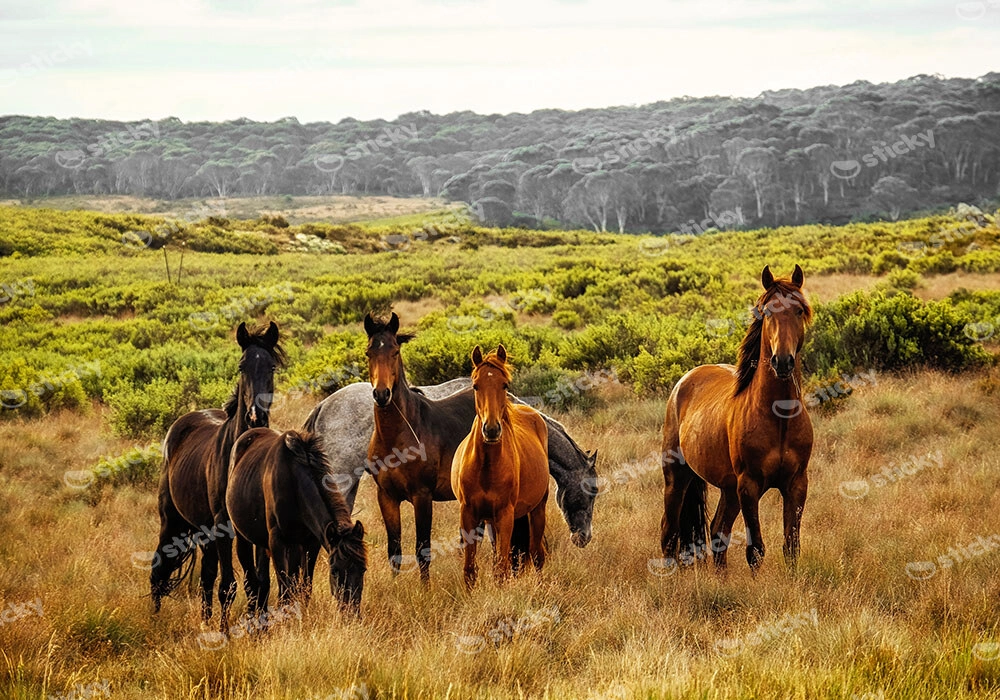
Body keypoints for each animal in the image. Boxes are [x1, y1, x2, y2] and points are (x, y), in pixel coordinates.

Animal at [150, 321, 283, 631]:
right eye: (241, 366)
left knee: (206, 576)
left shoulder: (255, 530)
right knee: (159, 569)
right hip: (173, 521)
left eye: (271, 366)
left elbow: (259, 583)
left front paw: (260, 628)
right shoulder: (223, 526)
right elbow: (230, 585)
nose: (256, 416)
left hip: (203, 531)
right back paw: (157, 618)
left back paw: (205, 619)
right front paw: (224, 633)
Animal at [227, 428, 367, 616]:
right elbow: (285, 590)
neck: (293, 481)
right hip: (244, 537)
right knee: (251, 580)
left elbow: (304, 587)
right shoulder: (277, 542)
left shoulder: (311, 543)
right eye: (335, 571)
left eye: (363, 569)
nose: (351, 613)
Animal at [452, 345, 549, 588]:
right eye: (475, 385)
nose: (492, 429)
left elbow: (501, 569)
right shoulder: (468, 514)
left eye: (504, 384)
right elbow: (469, 569)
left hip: (537, 510)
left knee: (537, 555)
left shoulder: (505, 515)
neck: (486, 466)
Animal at [659, 265, 813, 572]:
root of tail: (685, 380)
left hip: (728, 489)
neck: (779, 416)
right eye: (766, 312)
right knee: (669, 534)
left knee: (718, 531)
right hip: (677, 478)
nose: (782, 361)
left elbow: (791, 547)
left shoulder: (796, 484)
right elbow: (756, 550)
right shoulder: (749, 486)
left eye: (799, 310)